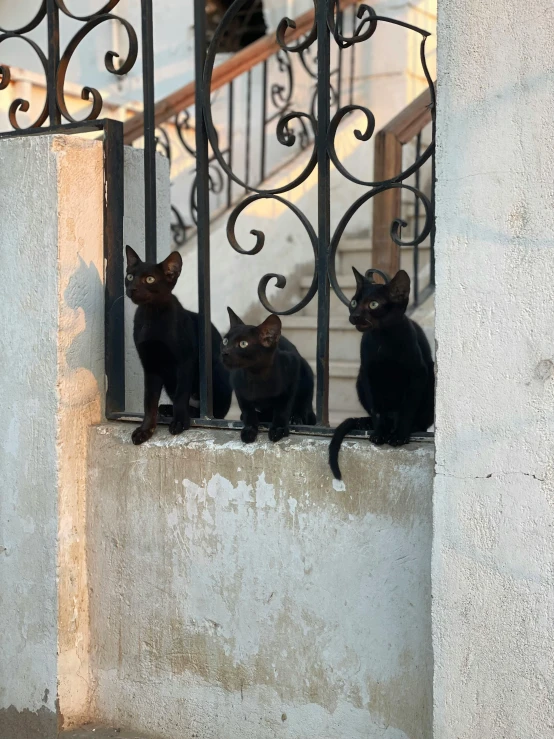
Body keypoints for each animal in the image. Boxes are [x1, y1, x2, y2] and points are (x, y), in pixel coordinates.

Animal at [125, 247, 231, 446]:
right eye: (129, 276)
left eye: (149, 279)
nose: (132, 289)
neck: (152, 315)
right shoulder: (151, 366)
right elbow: (149, 401)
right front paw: (146, 430)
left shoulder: (185, 360)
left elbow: (181, 393)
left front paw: (180, 422)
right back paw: (167, 409)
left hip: (215, 369)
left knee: (213, 412)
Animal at [220, 308, 314, 446]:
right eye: (225, 341)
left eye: (243, 344)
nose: (224, 352)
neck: (256, 375)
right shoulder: (238, 387)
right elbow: (248, 411)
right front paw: (249, 429)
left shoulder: (293, 369)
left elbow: (283, 408)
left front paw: (278, 429)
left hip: (306, 371)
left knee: (305, 405)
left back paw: (296, 418)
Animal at [328, 270, 432, 480]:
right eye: (353, 302)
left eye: (373, 304)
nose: (355, 315)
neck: (383, 340)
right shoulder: (368, 375)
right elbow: (377, 410)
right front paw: (379, 433)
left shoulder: (418, 374)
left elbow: (407, 409)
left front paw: (400, 435)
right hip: (359, 380)